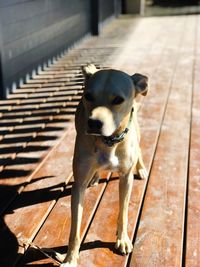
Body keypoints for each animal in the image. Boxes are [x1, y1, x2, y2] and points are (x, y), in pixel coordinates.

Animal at [60, 63, 148, 266]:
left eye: (118, 100)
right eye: (88, 96)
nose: (93, 123)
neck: (108, 142)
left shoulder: (126, 178)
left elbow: (123, 213)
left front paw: (122, 239)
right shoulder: (78, 186)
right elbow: (75, 230)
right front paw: (70, 259)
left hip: (136, 131)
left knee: (139, 148)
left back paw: (141, 168)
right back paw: (95, 176)